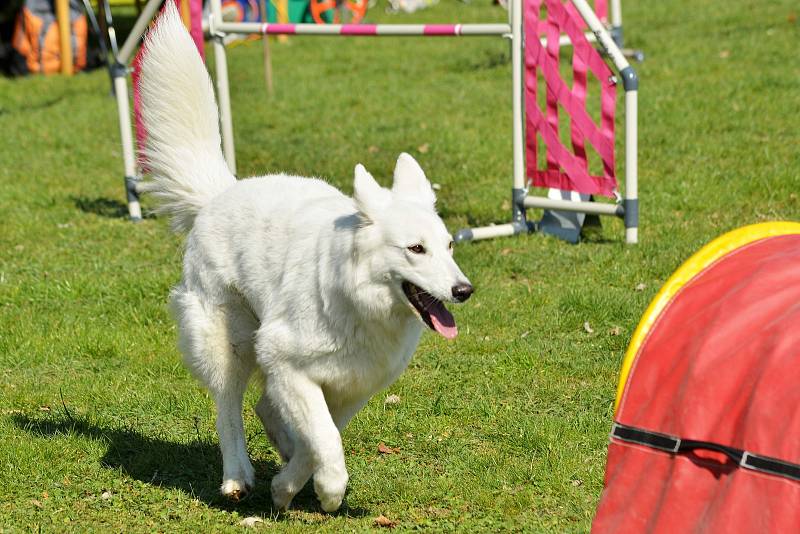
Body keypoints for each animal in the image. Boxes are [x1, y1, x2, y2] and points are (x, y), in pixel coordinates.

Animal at [138, 4, 472, 516]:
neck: (357, 303)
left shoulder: (351, 385)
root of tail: (221, 192)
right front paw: (327, 490)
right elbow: (325, 442)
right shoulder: (287, 363)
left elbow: (319, 439)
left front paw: (288, 484)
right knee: (229, 406)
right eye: (415, 249)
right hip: (230, 341)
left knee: (264, 409)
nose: (463, 291)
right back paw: (237, 476)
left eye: (449, 246)